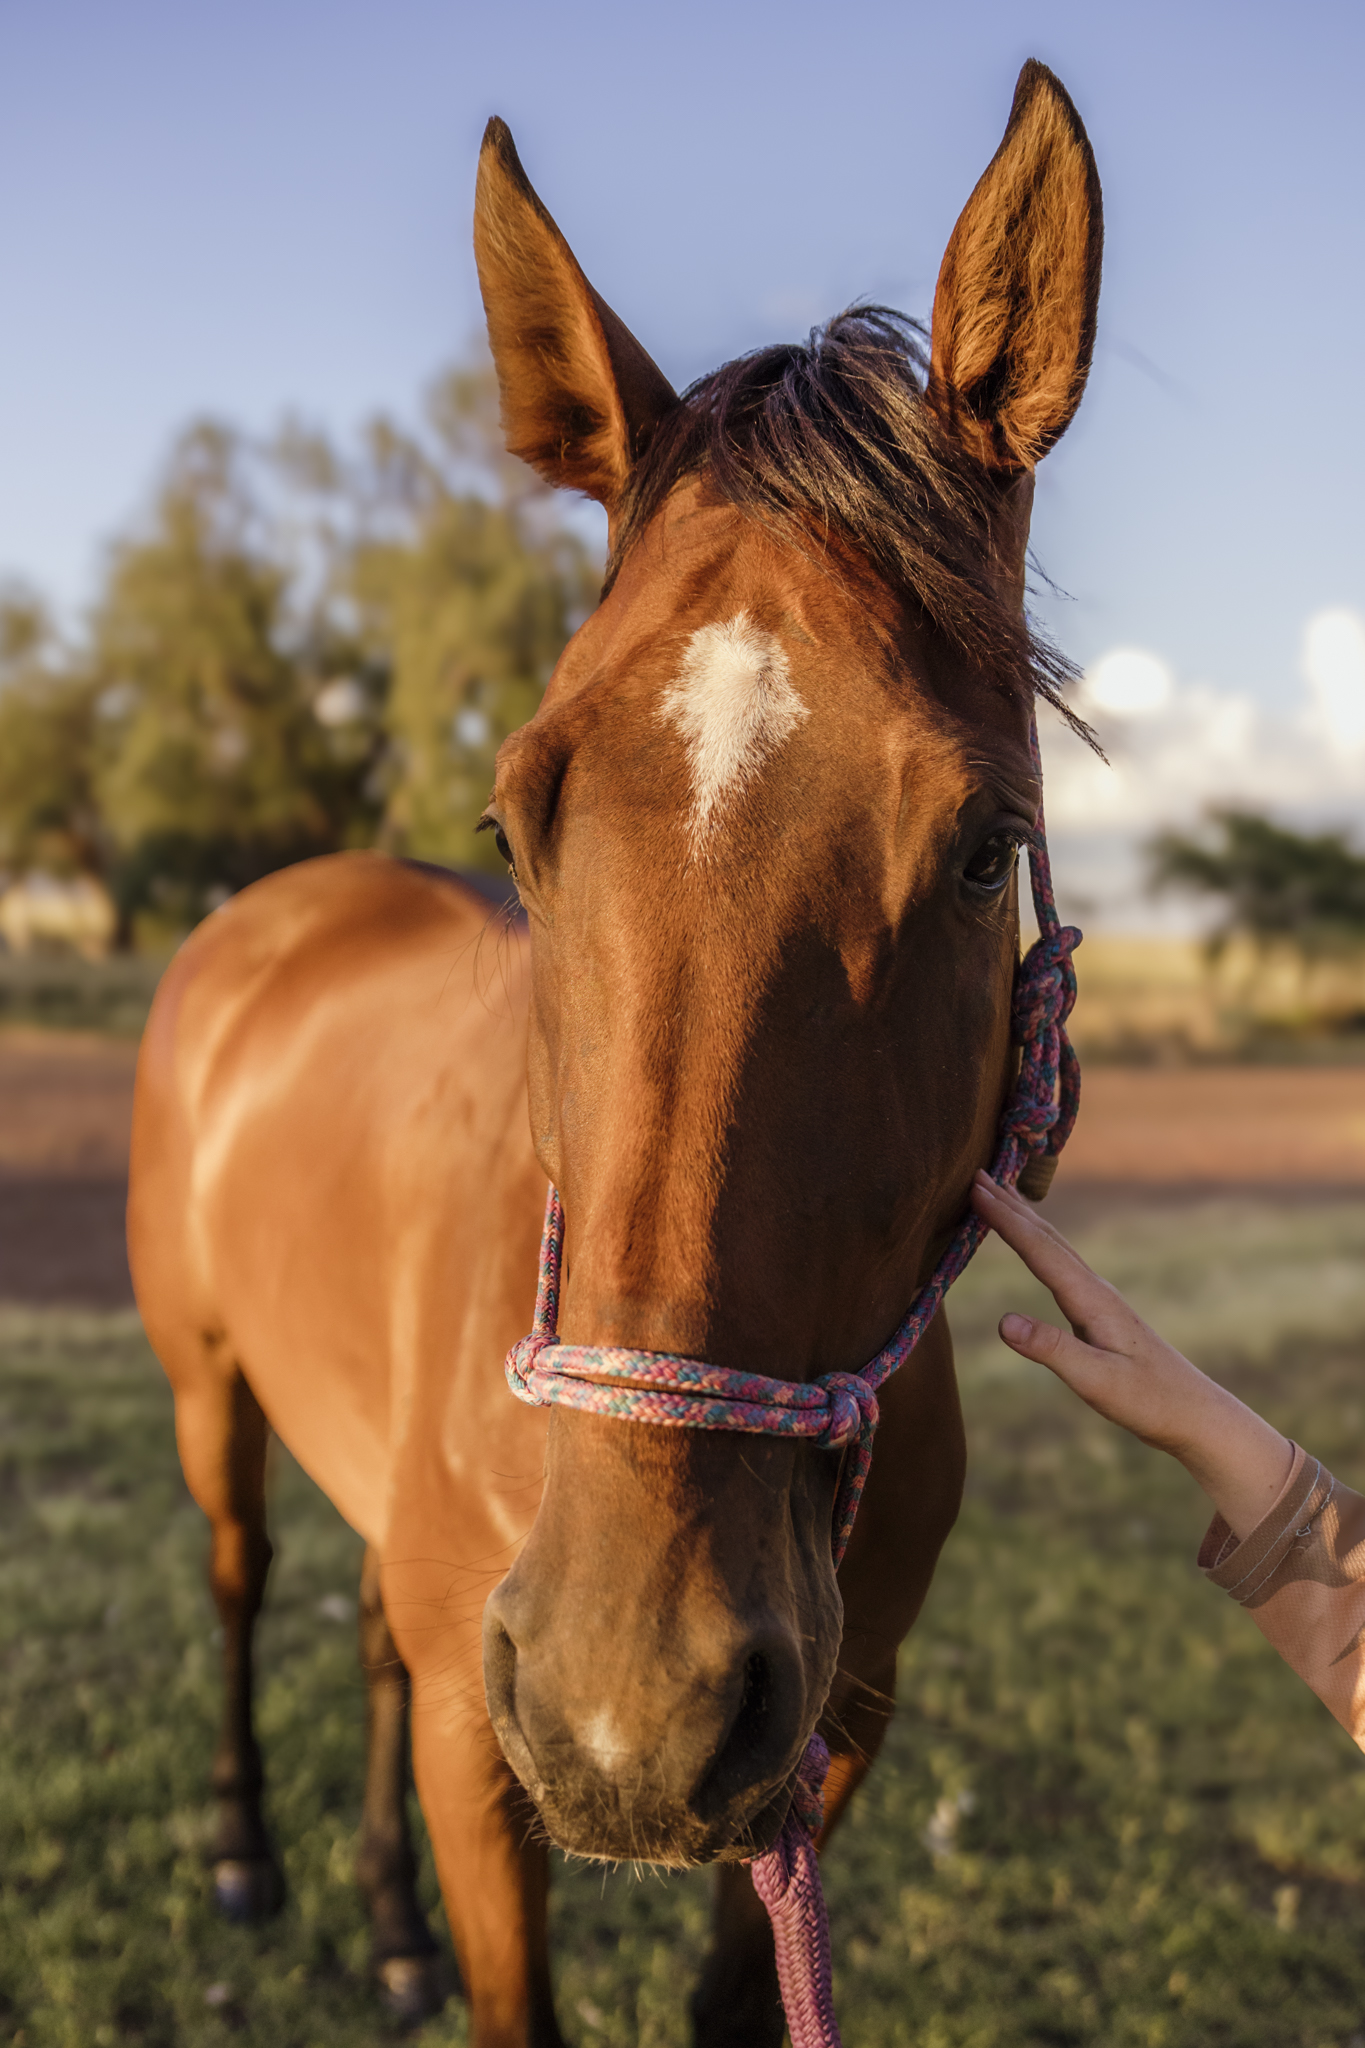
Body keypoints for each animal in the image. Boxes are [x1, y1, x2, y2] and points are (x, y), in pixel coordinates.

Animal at [128, 58, 1101, 2046]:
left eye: (986, 847)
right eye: (517, 819)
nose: (625, 1697)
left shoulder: (829, 1734)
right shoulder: (484, 1728)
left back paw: (384, 1917)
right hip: (212, 1390)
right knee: (244, 1579)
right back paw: (251, 1849)